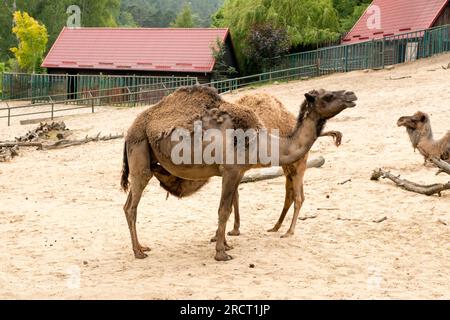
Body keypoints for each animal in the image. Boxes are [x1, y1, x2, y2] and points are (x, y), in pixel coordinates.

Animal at [210, 93, 342, 240]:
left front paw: (221, 234)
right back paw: (276, 227)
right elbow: (235, 196)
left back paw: (287, 230)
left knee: (297, 196)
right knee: (292, 194)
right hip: (289, 166)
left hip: (298, 164)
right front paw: (233, 230)